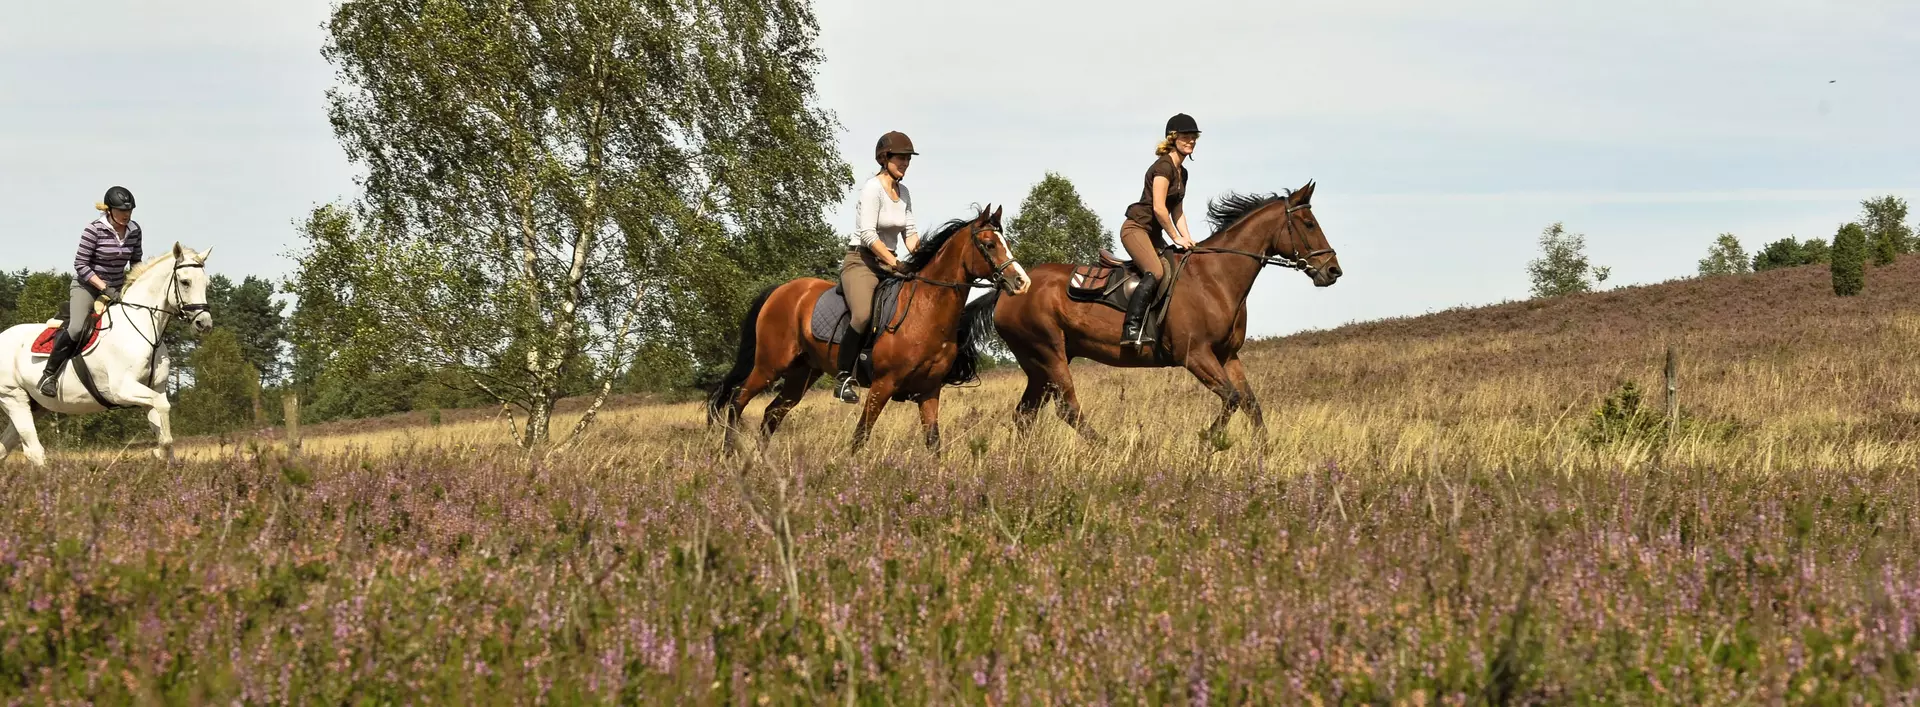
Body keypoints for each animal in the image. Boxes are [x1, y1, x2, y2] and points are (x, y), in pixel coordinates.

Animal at [0, 245, 216, 466]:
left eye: (206, 283)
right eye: (185, 282)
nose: (204, 324)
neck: (144, 328)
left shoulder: (154, 389)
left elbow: (161, 413)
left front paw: (165, 458)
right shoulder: (122, 390)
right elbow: (163, 408)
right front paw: (160, 451)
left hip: (35, 405)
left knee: (5, 447)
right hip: (14, 397)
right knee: (34, 451)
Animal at [710, 207, 1036, 455]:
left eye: (1005, 242)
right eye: (989, 244)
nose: (1022, 282)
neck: (926, 310)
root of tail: (780, 291)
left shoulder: (930, 390)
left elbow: (933, 442)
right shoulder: (883, 385)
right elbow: (860, 437)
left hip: (802, 373)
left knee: (772, 413)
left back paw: (761, 462)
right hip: (770, 365)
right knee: (738, 401)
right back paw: (728, 454)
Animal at [967, 177, 1344, 441]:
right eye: (1309, 224)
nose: (1332, 271)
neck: (1215, 277)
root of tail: (1010, 290)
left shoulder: (1227, 356)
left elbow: (1250, 404)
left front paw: (1263, 452)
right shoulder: (1196, 355)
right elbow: (1233, 399)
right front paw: (1207, 439)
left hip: (1038, 365)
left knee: (1025, 416)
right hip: (1048, 354)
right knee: (1067, 409)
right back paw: (1106, 448)